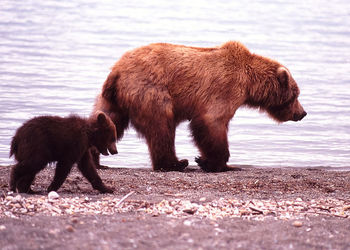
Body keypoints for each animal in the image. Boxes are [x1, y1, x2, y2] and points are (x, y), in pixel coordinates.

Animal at [93, 41, 306, 174]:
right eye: (296, 94)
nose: (302, 113)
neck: (248, 84)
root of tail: (117, 71)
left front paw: (208, 161)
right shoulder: (225, 88)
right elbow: (211, 122)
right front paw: (214, 163)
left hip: (114, 99)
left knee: (107, 119)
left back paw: (96, 159)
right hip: (150, 91)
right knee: (161, 126)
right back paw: (175, 163)